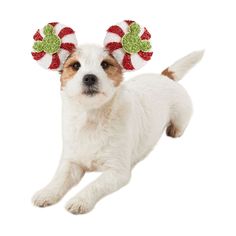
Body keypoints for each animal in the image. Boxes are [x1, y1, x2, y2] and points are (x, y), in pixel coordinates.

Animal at [32, 44, 204, 214]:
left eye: (104, 64)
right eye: (75, 66)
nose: (89, 77)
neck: (92, 119)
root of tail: (165, 76)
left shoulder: (117, 172)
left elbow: (94, 185)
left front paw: (80, 200)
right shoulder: (71, 162)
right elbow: (59, 179)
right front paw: (46, 192)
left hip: (182, 114)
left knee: (180, 124)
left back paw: (174, 130)